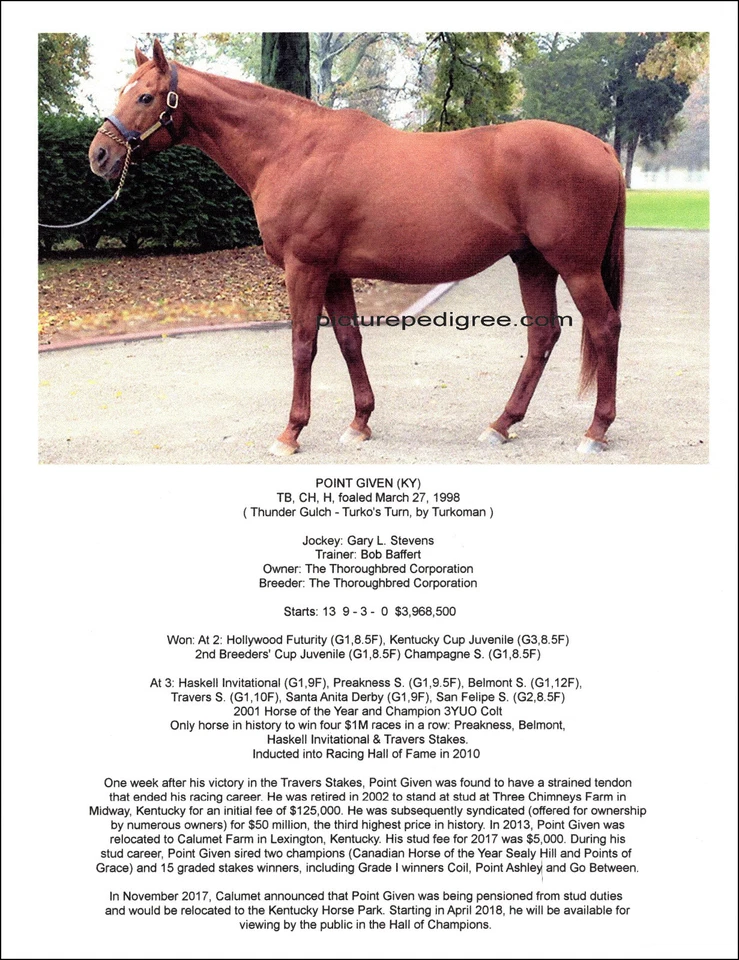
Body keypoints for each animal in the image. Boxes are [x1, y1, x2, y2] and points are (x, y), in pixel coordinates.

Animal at [89, 39, 625, 457]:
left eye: (145, 95)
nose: (99, 154)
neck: (292, 149)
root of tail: (601, 148)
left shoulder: (304, 267)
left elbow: (303, 345)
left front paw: (290, 432)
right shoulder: (335, 271)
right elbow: (349, 341)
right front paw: (360, 423)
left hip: (575, 266)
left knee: (604, 328)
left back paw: (595, 430)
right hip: (532, 262)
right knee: (542, 337)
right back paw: (501, 424)